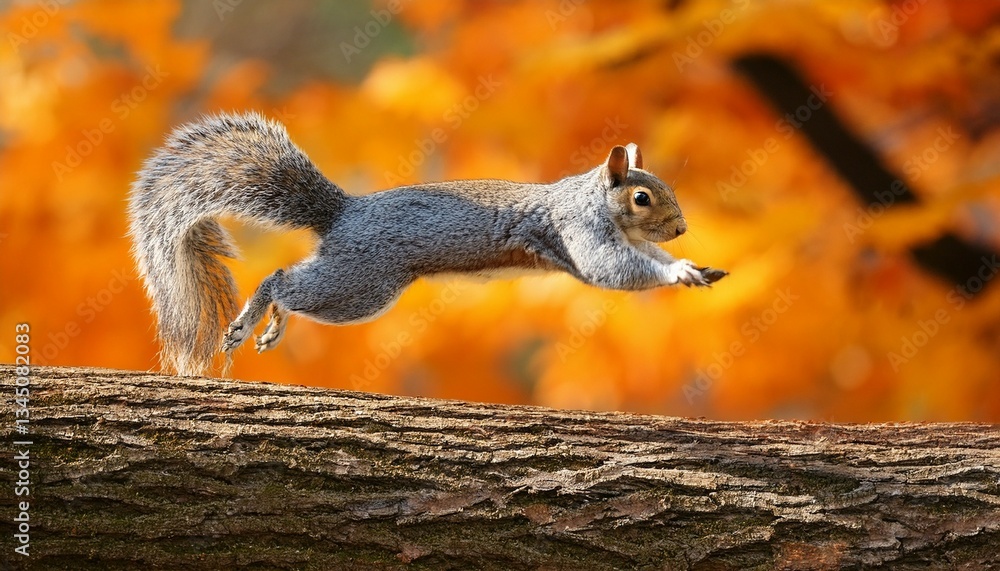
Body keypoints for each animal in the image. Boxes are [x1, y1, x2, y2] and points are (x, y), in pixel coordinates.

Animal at [128, 111, 727, 376]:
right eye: (643, 197)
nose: (680, 229)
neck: (591, 200)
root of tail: (343, 213)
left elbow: (642, 259)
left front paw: (691, 266)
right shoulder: (579, 230)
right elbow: (613, 268)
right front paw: (678, 272)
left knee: (293, 287)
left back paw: (274, 327)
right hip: (359, 282)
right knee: (282, 282)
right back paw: (252, 317)